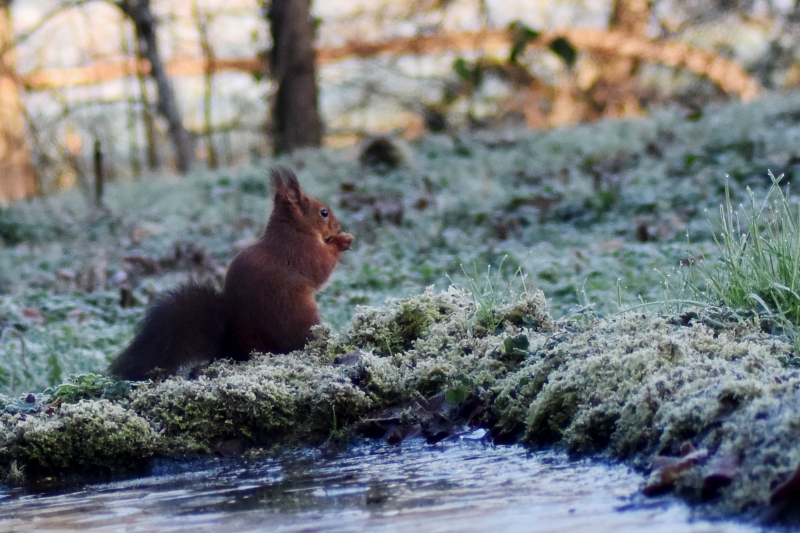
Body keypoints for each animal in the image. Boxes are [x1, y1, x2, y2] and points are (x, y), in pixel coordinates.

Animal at [108, 166, 354, 378]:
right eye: (324, 212)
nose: (339, 227)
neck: (293, 229)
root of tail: (235, 347)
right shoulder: (302, 252)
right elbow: (322, 268)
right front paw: (342, 241)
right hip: (301, 314)